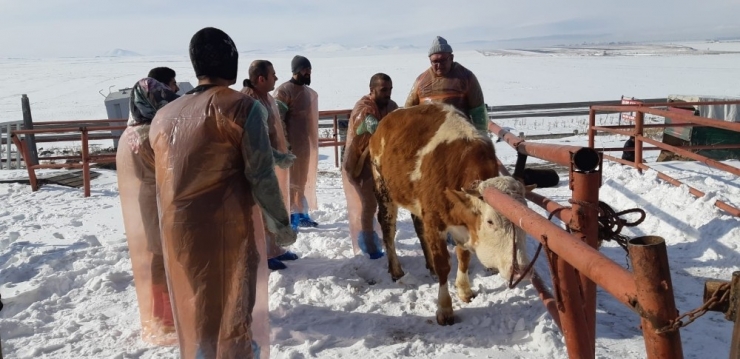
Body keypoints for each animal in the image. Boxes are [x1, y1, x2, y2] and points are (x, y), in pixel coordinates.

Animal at [370, 102, 532, 326]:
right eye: (490, 221)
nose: (522, 271)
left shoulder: (461, 224)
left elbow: (464, 257)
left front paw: (464, 290)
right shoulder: (434, 221)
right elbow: (443, 265)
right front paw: (445, 308)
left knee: (419, 228)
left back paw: (428, 265)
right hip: (384, 190)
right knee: (388, 230)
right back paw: (396, 270)